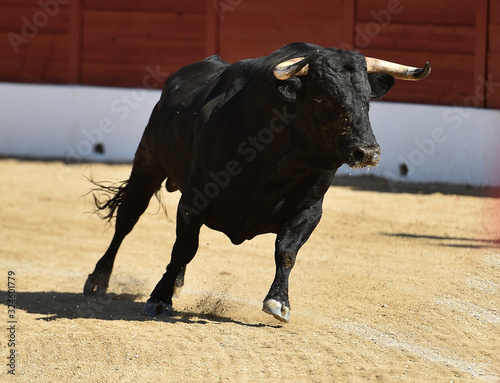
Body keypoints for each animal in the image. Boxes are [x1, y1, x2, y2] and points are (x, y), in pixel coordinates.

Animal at [83, 42, 430, 324]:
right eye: (322, 98)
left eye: (366, 99)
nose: (367, 152)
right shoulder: (195, 198)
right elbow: (183, 248)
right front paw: (158, 299)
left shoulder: (310, 211)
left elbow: (286, 251)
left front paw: (279, 303)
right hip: (148, 162)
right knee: (127, 220)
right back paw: (98, 281)